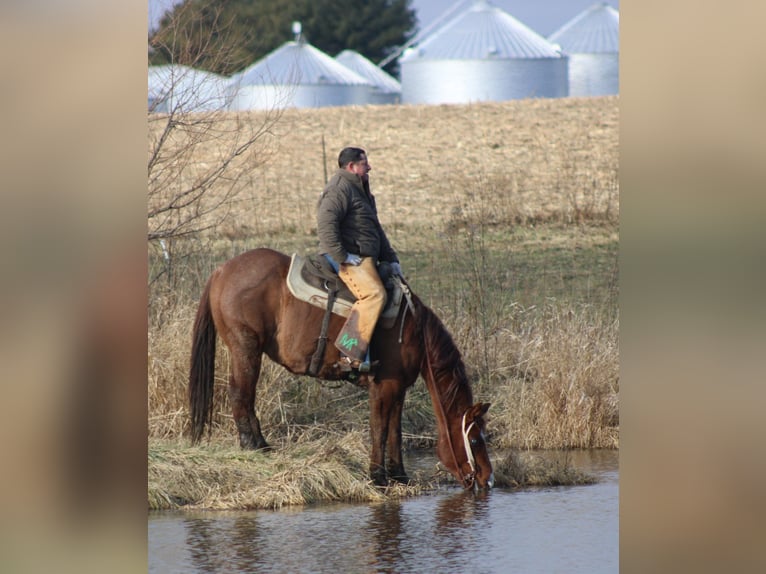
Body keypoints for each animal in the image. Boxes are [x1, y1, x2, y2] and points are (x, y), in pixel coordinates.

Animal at [188, 247, 494, 490]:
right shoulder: (384, 387)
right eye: (475, 440)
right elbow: (379, 428)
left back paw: (263, 445)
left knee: (246, 398)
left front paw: (399, 476)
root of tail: (222, 271)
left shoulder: (398, 389)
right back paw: (252, 446)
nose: (487, 480)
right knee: (241, 395)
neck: (413, 329)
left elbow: (394, 431)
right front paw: (378, 477)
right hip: (245, 350)